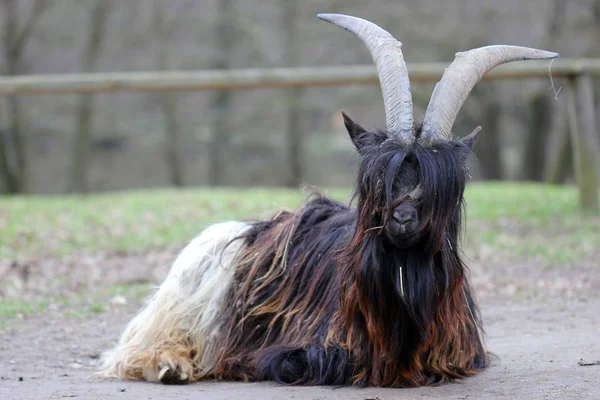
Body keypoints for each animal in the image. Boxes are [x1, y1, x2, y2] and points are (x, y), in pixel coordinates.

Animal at [99, 14, 556, 388]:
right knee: (135, 350)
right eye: (378, 178)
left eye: (441, 183)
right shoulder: (302, 351)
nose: (403, 219)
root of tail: (253, 227)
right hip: (188, 298)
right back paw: (169, 366)